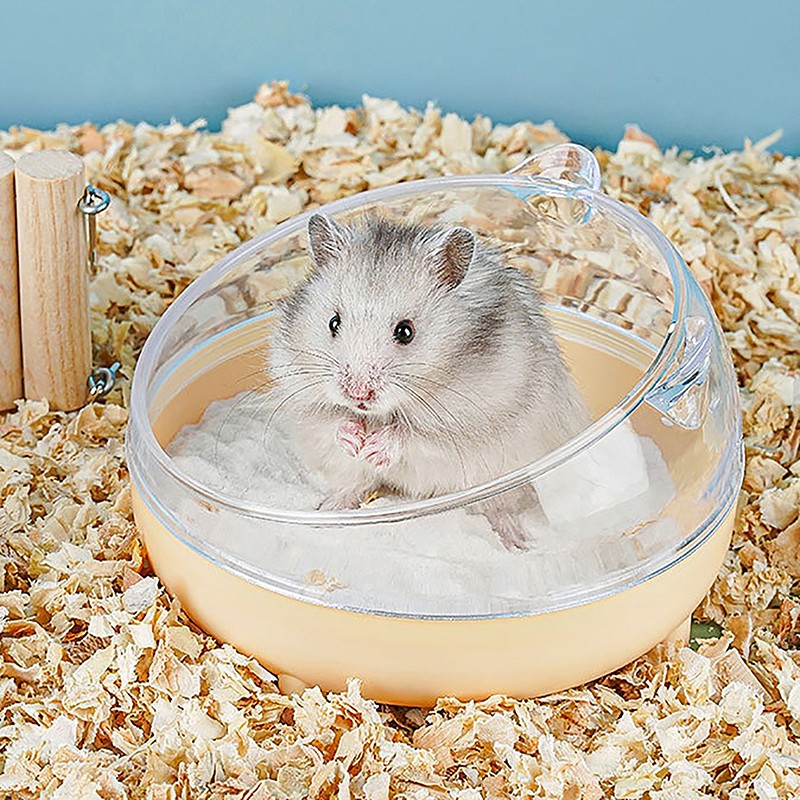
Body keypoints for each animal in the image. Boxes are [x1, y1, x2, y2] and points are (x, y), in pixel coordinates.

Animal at [268, 213, 591, 549]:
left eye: (405, 331)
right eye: (334, 322)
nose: (358, 394)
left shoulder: (471, 419)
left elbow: (415, 435)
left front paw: (374, 449)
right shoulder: (300, 391)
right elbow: (330, 419)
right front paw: (355, 441)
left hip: (503, 481)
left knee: (498, 508)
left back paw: (517, 543)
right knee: (351, 486)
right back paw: (324, 512)